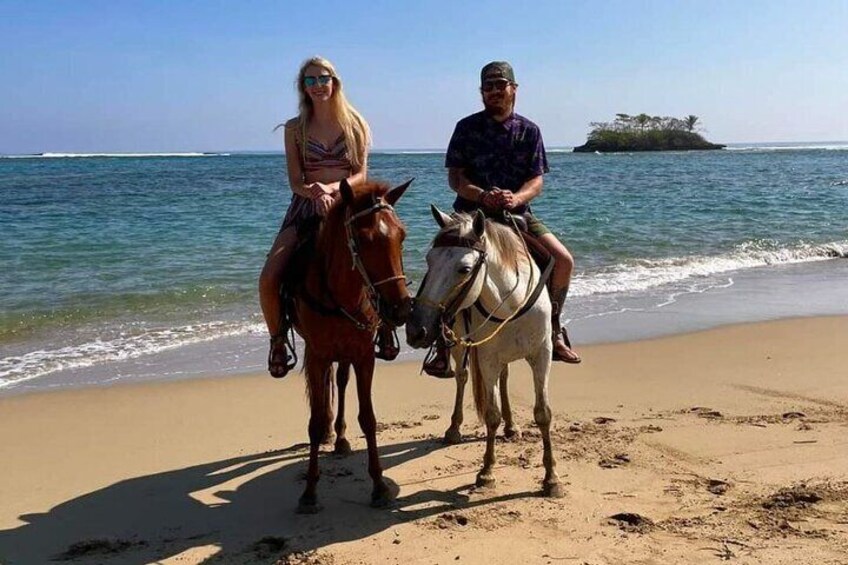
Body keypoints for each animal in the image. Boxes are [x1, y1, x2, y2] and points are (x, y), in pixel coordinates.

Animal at [290, 177, 412, 512]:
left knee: (342, 380)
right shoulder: (317, 356)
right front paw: (309, 492)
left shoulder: (363, 355)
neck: (340, 295)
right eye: (365, 239)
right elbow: (316, 420)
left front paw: (379, 486)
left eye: (402, 236)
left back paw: (342, 438)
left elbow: (368, 418)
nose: (401, 310)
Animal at [406, 205, 564, 496]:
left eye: (464, 268)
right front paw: (487, 471)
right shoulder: (488, 358)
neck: (512, 304)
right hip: (462, 347)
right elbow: (491, 414)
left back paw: (512, 426)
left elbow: (543, 413)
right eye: (429, 261)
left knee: (504, 378)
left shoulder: (542, 354)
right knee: (462, 378)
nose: (416, 330)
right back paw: (454, 429)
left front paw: (551, 479)